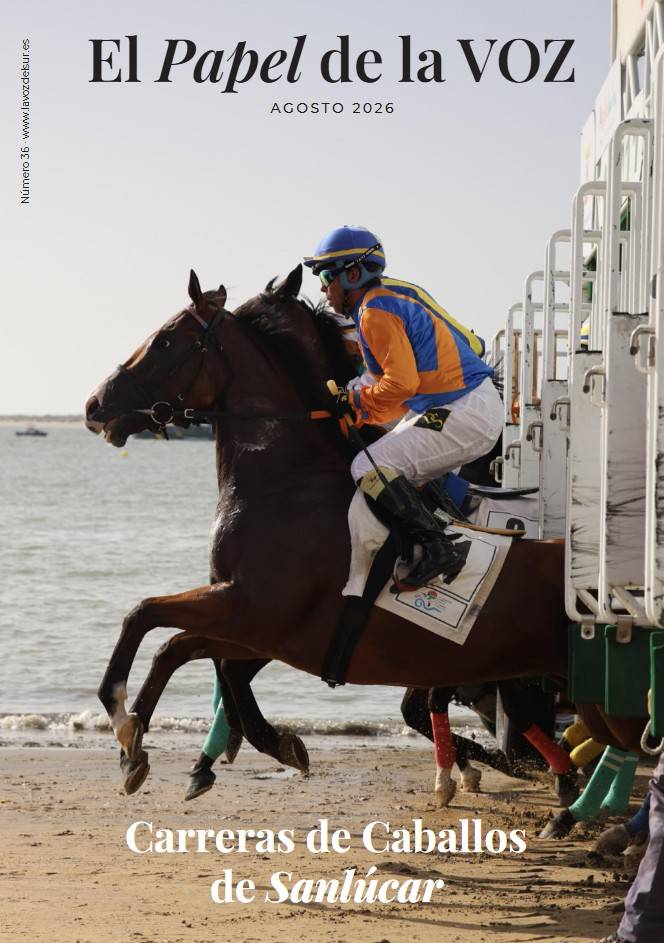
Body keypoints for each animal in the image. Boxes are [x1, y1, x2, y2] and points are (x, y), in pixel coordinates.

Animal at [85, 265, 645, 825]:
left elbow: (148, 618)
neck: (286, 481)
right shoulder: (257, 625)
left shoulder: (252, 611)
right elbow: (179, 648)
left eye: (165, 340)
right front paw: (149, 745)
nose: (95, 405)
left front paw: (123, 717)